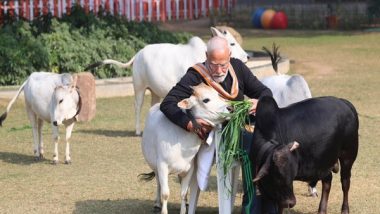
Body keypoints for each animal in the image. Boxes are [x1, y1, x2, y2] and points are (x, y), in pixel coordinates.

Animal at [84, 26, 248, 135]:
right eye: (232, 43)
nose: (247, 56)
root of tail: (138, 54)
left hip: (154, 91)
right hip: (139, 87)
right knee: (137, 106)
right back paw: (138, 131)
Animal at [140, 83, 229, 214]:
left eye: (218, 94)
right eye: (206, 100)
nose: (230, 108)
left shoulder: (189, 169)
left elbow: (183, 193)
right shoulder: (162, 166)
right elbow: (165, 193)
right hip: (155, 167)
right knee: (158, 184)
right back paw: (157, 204)